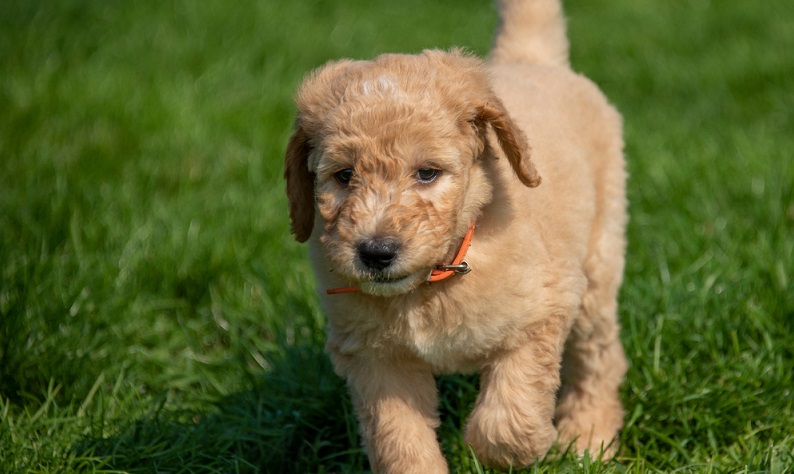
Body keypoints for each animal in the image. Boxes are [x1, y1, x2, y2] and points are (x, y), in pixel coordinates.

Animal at [284, 0, 624, 470]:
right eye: (343, 176)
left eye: (427, 173)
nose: (376, 252)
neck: (435, 279)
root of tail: (529, 60)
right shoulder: (377, 359)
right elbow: (400, 442)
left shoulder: (543, 310)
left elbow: (506, 420)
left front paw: (512, 449)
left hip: (597, 265)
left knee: (600, 359)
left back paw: (588, 437)